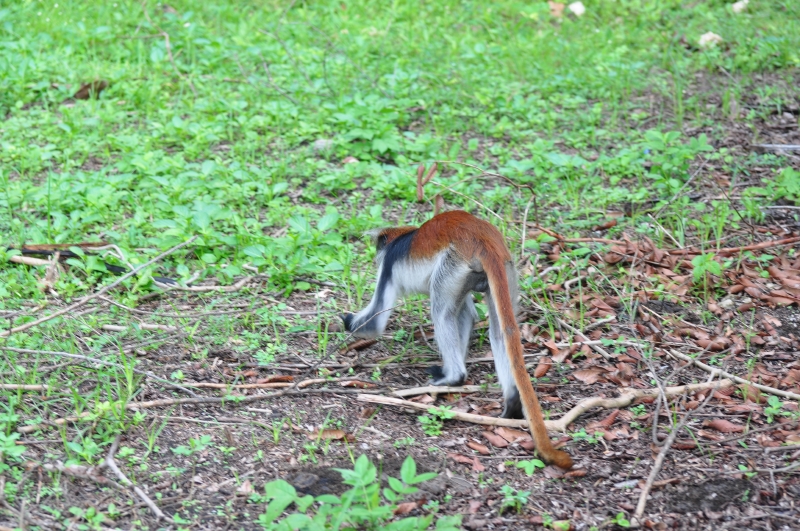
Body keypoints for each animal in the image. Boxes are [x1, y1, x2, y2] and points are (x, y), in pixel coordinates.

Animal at [342, 210, 573, 469]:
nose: (375, 254)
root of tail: (482, 236)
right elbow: (467, 315)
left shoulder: (389, 264)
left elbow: (375, 324)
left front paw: (346, 322)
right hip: (503, 270)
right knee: (498, 331)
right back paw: (512, 400)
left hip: (452, 265)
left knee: (441, 312)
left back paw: (454, 377)